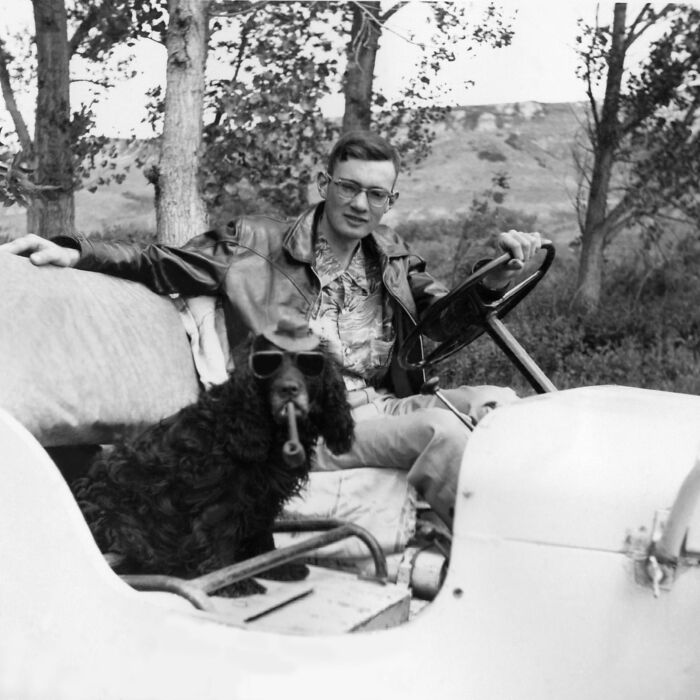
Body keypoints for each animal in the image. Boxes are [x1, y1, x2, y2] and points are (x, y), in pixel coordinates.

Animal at [74, 320, 352, 592]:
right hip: (123, 522)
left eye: (309, 364)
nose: (289, 389)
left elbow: (262, 534)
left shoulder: (264, 497)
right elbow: (219, 535)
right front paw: (231, 580)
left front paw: (274, 567)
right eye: (266, 365)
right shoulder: (221, 496)